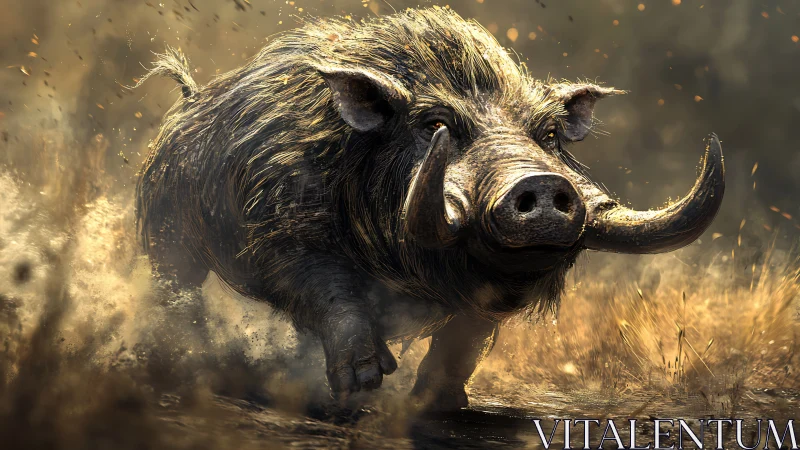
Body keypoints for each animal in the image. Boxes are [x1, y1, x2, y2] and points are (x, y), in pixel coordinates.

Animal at [135, 8, 724, 409]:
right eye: (435, 125)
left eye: (550, 133)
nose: (541, 183)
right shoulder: (284, 232)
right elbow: (331, 291)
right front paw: (365, 385)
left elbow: (464, 340)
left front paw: (439, 404)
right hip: (166, 232)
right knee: (177, 289)